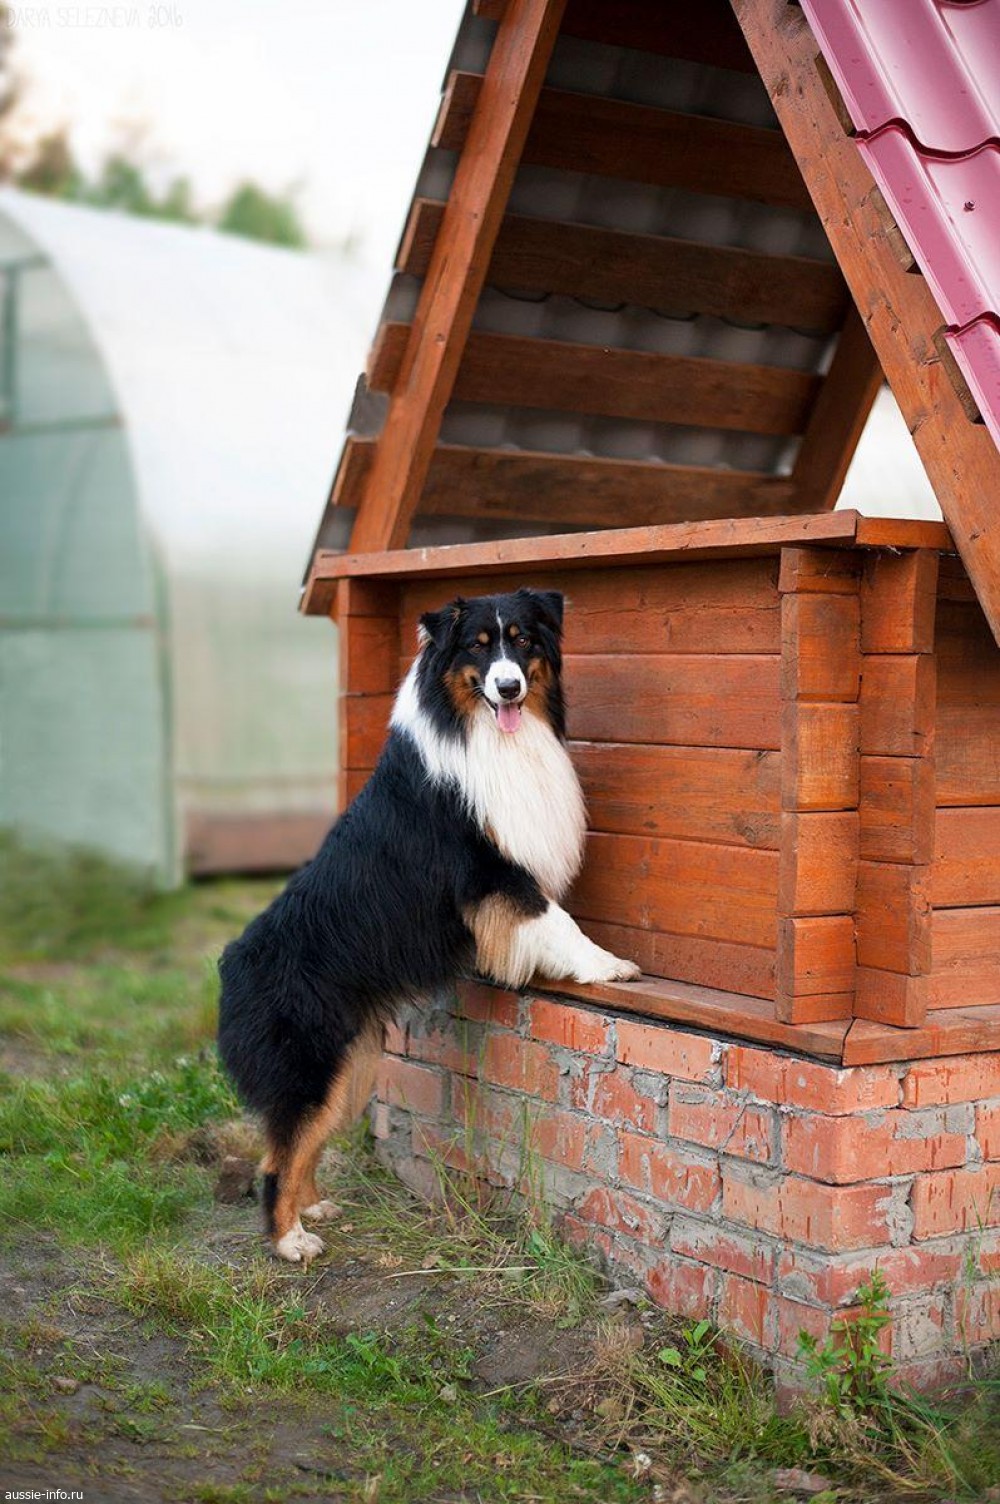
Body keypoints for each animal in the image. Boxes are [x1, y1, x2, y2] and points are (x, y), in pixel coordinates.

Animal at [218, 587, 640, 1263]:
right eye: (477, 646)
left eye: (523, 641)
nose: (510, 687)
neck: (484, 732)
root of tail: (228, 967)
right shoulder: (490, 869)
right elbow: (558, 919)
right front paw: (608, 965)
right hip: (308, 1067)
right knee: (276, 1158)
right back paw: (290, 1242)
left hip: (351, 1065)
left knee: (303, 1146)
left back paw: (314, 1208)